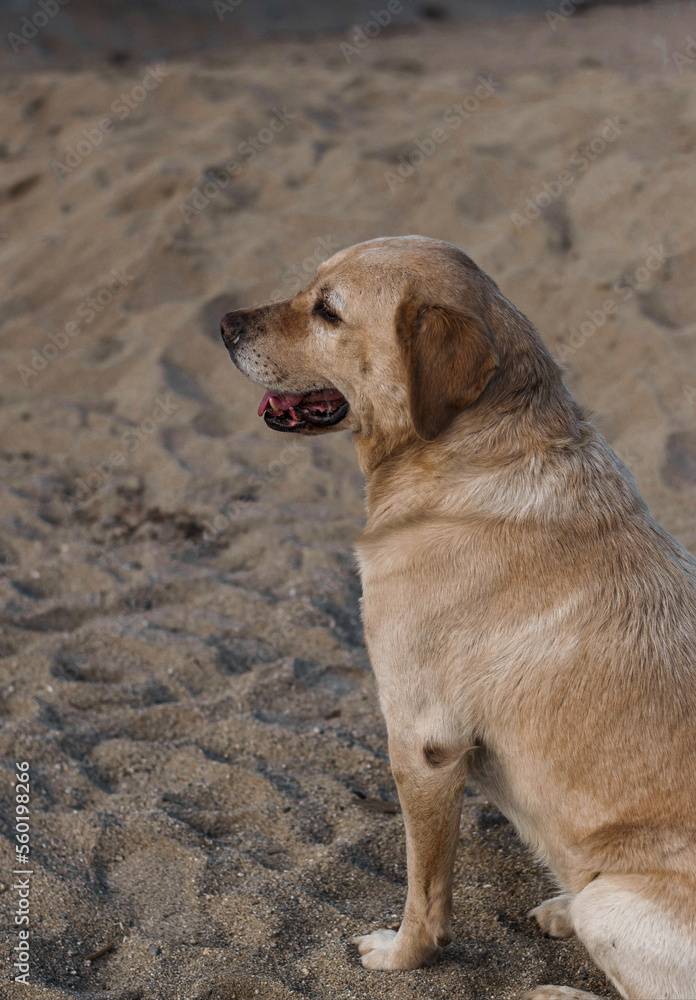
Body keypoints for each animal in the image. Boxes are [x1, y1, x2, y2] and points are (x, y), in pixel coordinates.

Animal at [222, 238, 696, 996]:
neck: (471, 458)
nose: (225, 325)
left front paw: (403, 955)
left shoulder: (424, 742)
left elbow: (426, 889)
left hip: (619, 900)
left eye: (328, 311)